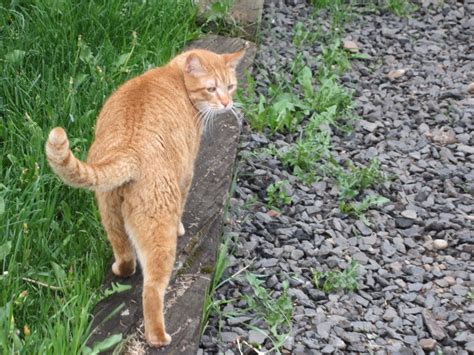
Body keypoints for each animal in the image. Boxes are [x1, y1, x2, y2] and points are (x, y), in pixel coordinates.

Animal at [45, 47, 246, 348]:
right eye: (212, 88)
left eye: (230, 86)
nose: (226, 103)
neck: (174, 75)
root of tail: (129, 150)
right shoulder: (186, 173)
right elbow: (182, 204)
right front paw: (181, 227)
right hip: (158, 234)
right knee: (152, 288)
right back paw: (158, 336)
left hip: (110, 215)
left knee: (126, 254)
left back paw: (121, 269)